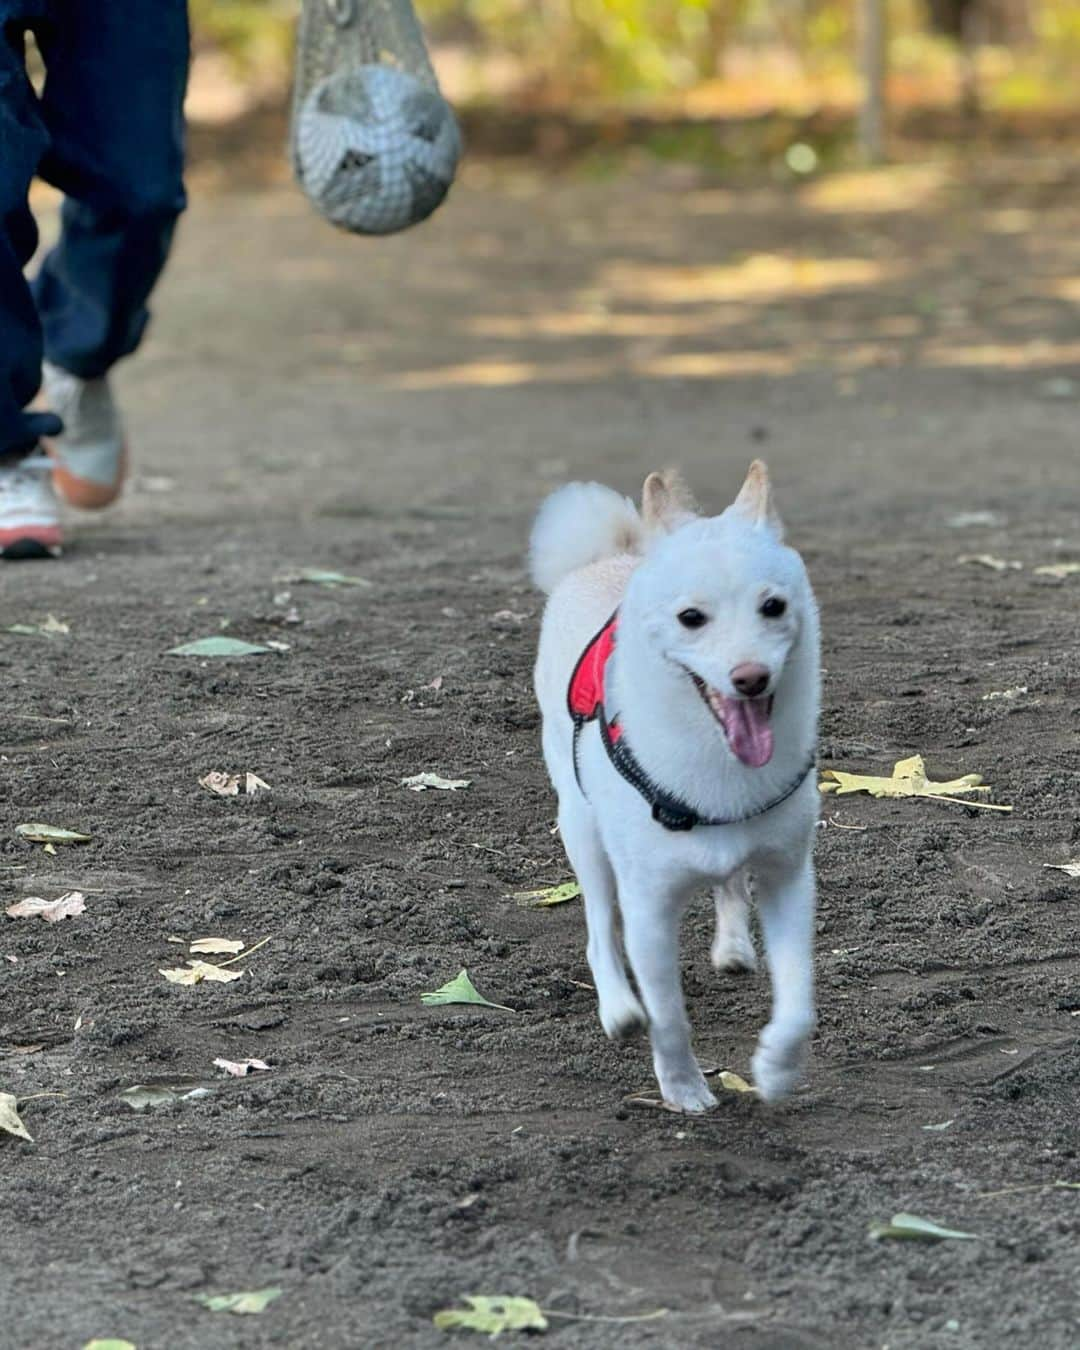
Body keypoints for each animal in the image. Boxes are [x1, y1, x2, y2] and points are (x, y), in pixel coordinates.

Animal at [531, 459, 820, 1112]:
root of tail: (611, 559)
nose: (750, 677)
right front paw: (684, 1087)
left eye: (773, 606)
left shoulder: (790, 878)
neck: (721, 770)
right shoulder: (649, 910)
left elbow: (799, 1003)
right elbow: (668, 1017)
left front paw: (775, 1068)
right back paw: (617, 1007)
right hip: (583, 832)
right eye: (692, 618)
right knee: (598, 929)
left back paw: (734, 947)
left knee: (730, 885)